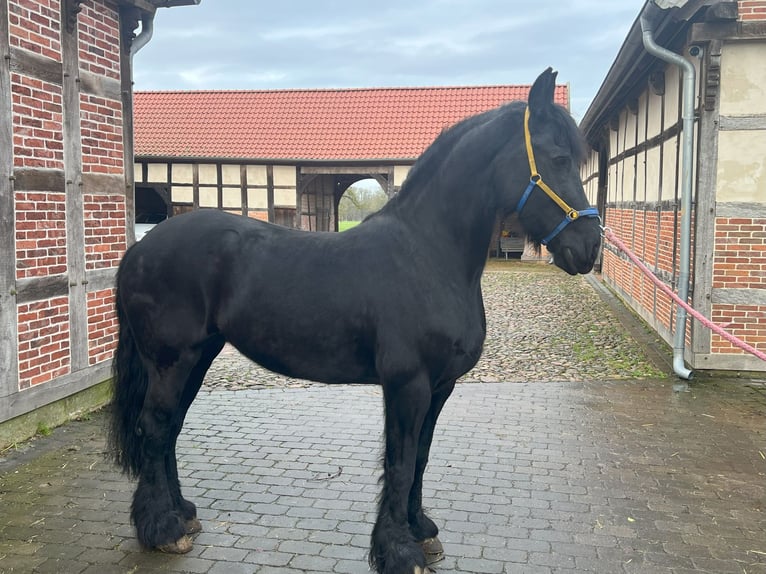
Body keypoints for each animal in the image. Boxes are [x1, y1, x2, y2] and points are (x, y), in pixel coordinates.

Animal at [108, 68, 604, 574]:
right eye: (559, 159)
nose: (590, 247)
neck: (427, 255)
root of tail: (138, 249)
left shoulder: (440, 386)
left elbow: (421, 456)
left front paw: (421, 530)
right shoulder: (408, 384)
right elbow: (400, 461)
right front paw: (399, 551)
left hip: (198, 356)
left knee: (170, 428)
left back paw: (182, 514)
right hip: (172, 360)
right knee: (155, 427)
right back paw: (163, 530)